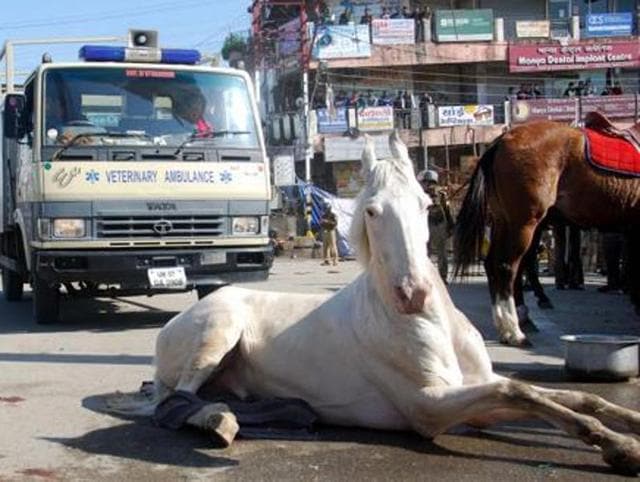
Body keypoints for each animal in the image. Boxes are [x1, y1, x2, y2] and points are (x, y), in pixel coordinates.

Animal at [454, 120, 640, 346]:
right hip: (524, 223)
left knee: (493, 264)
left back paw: (507, 326)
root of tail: (503, 138)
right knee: (507, 266)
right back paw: (515, 330)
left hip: (504, 220)